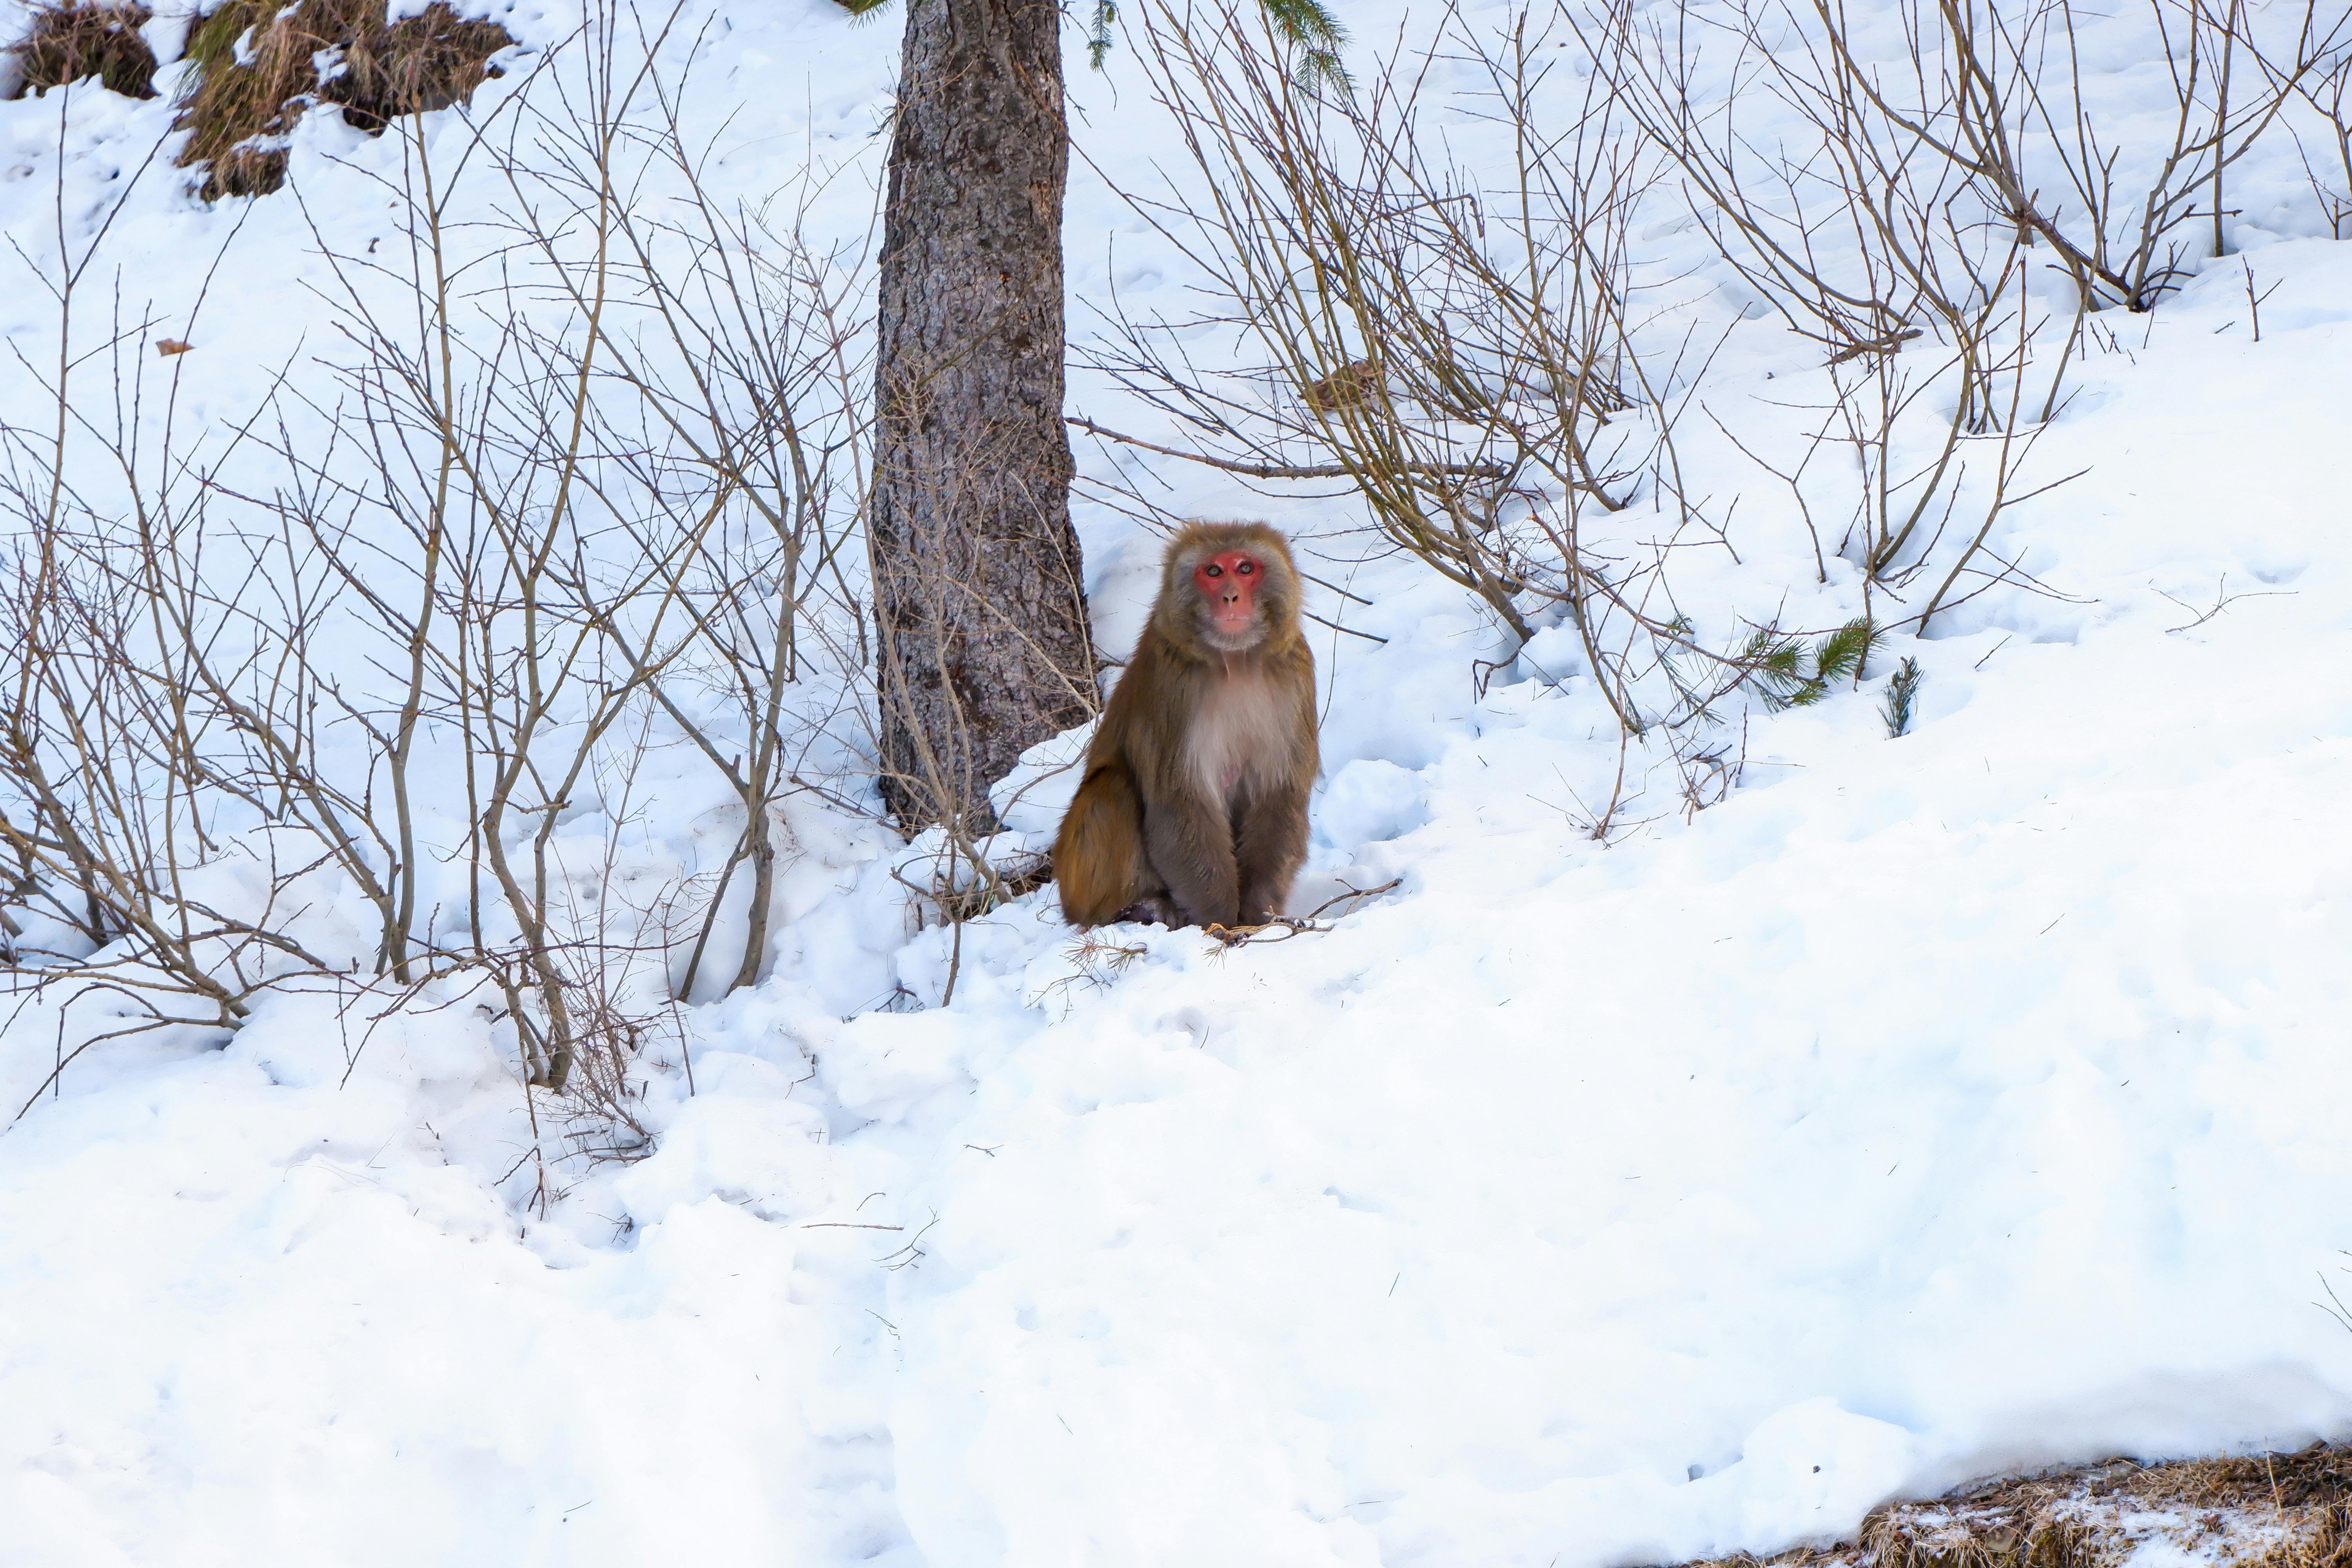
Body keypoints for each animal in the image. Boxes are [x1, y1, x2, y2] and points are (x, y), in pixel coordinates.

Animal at [1054, 520, 1318, 930]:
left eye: (1245, 568)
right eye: (1214, 572)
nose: (1231, 597)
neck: (1235, 661)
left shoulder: (1295, 676)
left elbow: (1278, 794)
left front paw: (1258, 914)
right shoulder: (1173, 688)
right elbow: (1182, 802)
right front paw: (1222, 923)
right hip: (1077, 883)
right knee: (1111, 788)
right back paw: (1136, 907)